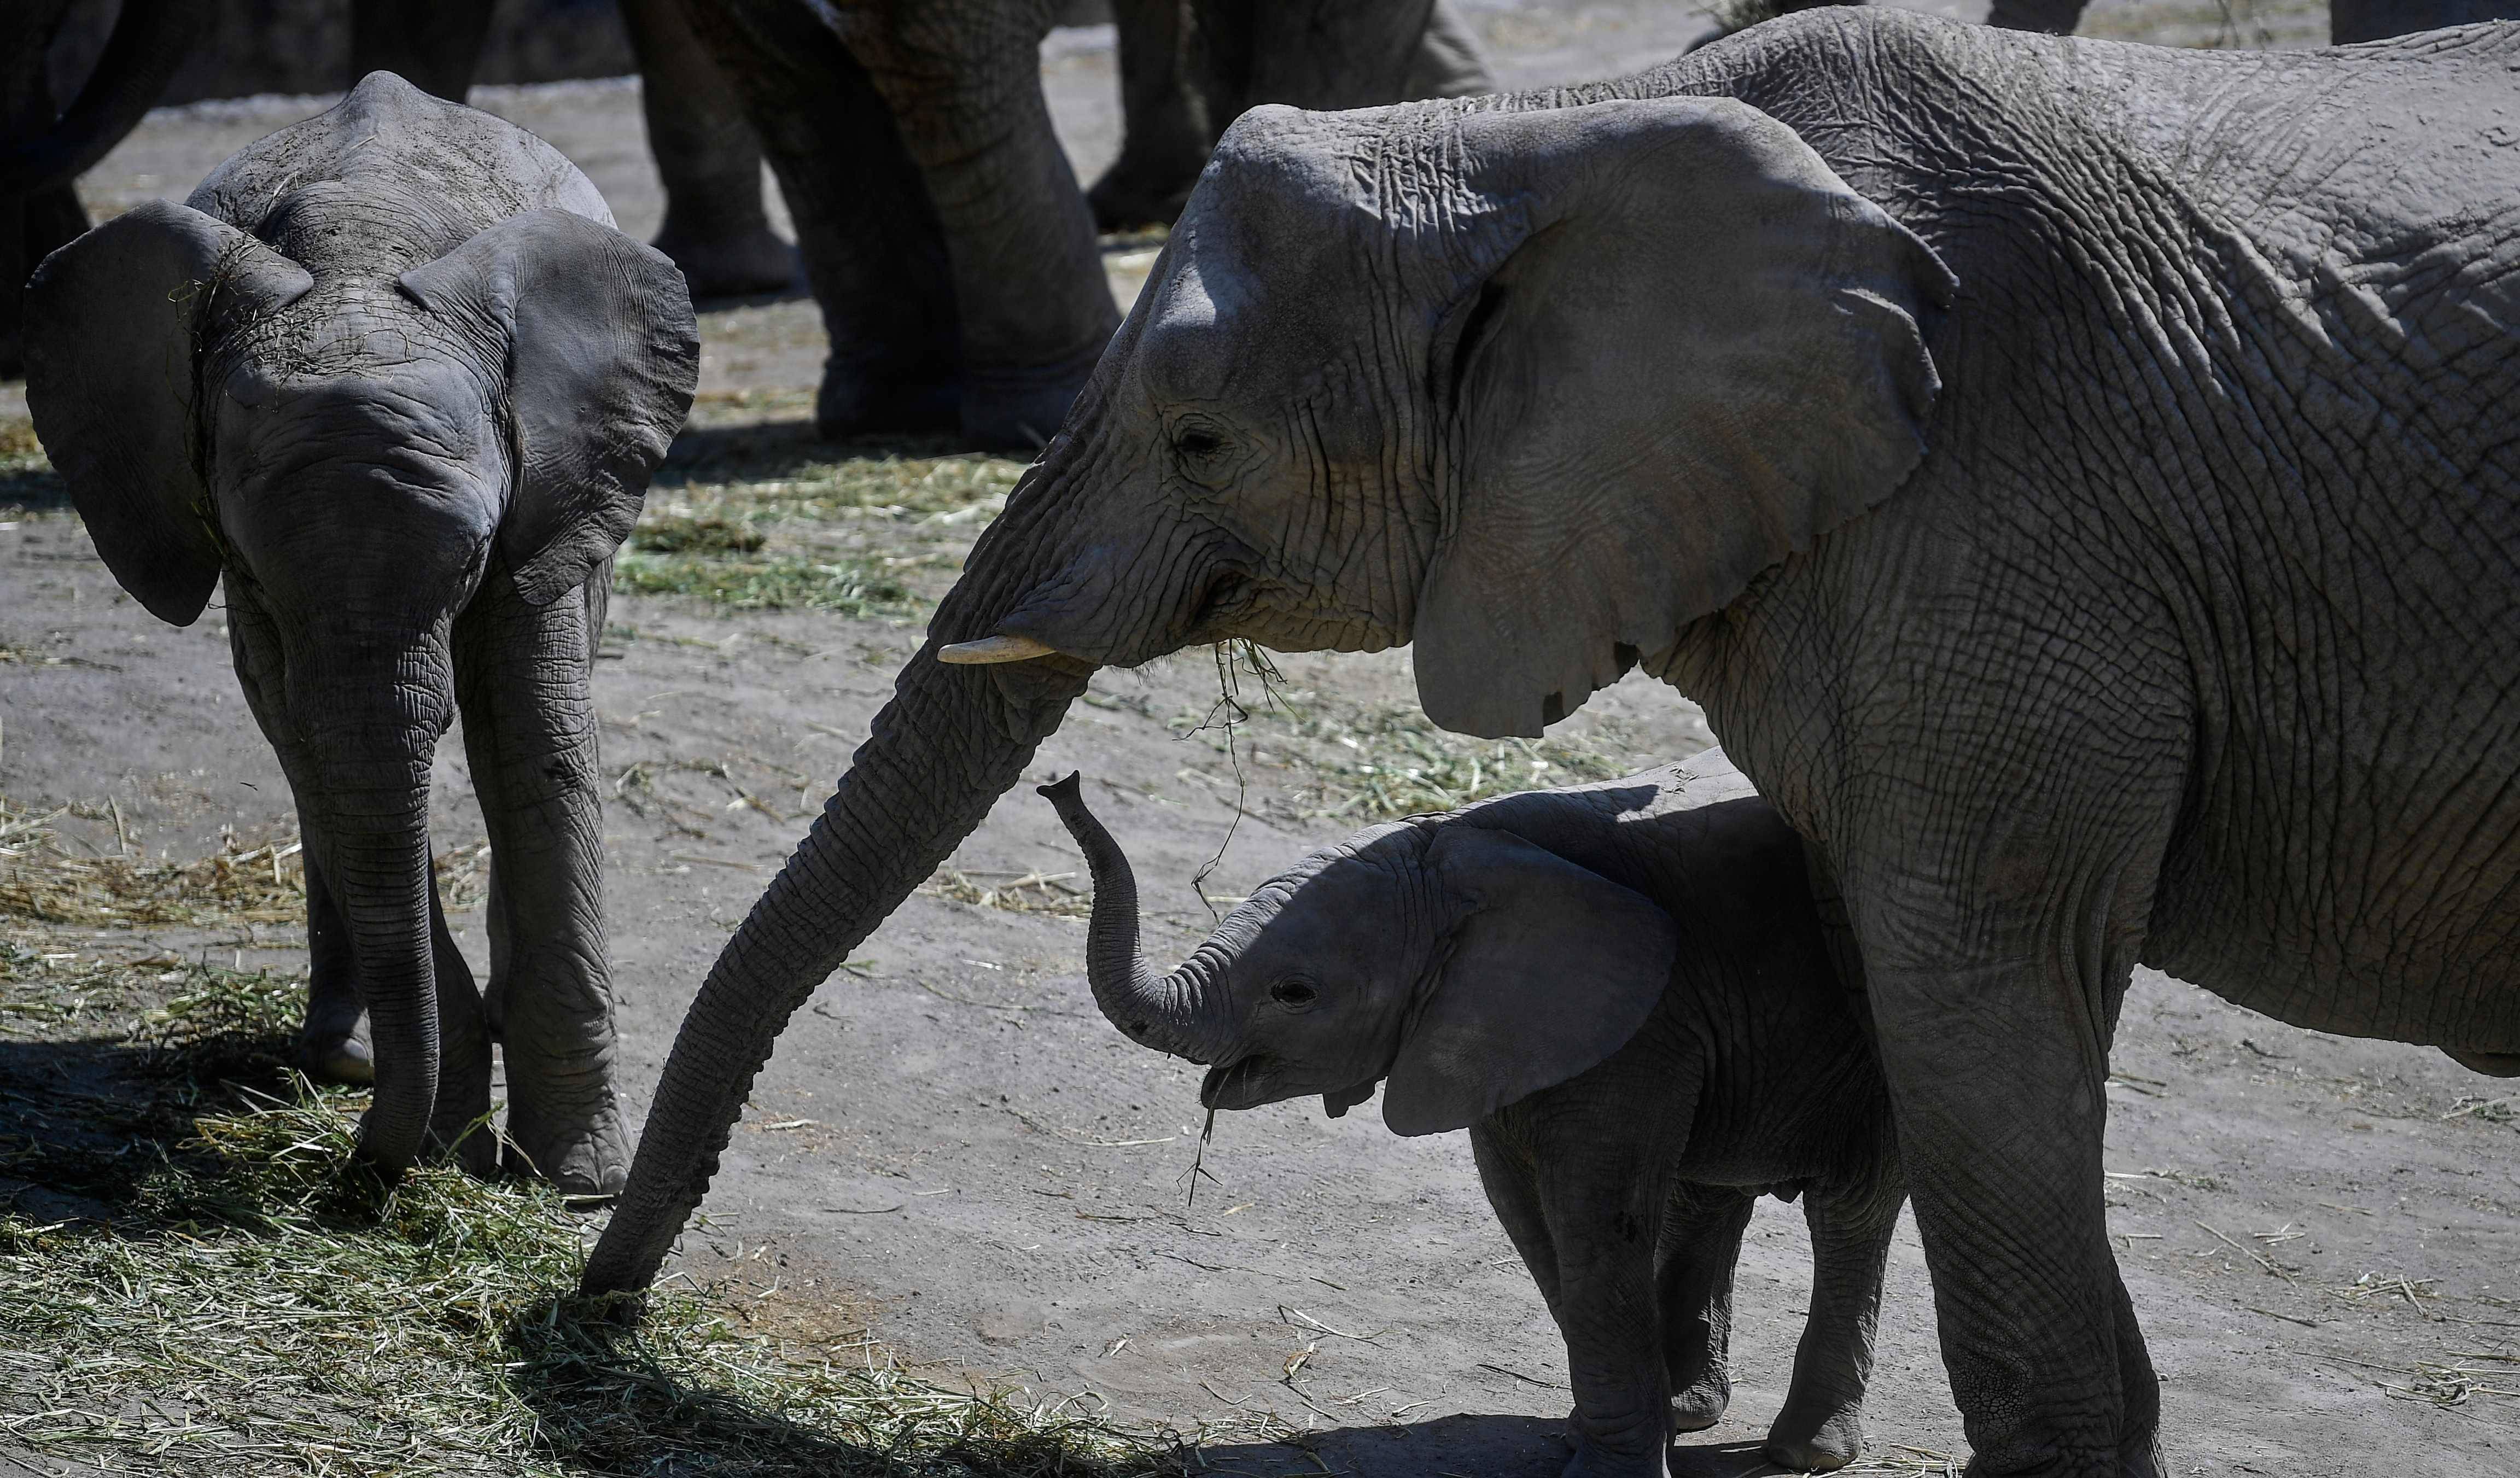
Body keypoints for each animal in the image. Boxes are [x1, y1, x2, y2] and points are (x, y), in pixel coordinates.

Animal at [24, 72, 705, 1204]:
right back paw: (347, 1060)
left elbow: (532, 736)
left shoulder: (550, 481)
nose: (351, 1185)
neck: (356, 263)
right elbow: (316, 747)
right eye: (256, 562)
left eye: (471, 559)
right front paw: (448, 1140)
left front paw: (574, 1181)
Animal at [1048, 755, 1905, 1470]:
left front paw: (1615, 1465)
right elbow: (1525, 1212)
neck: (1456, 848)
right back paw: (1694, 1409)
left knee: (1850, 1210)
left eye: (1294, 993)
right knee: (1711, 1194)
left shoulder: (1642, 1019)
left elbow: (1596, 1219)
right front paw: (1613, 1431)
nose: (1061, 783)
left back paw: (1808, 1451)